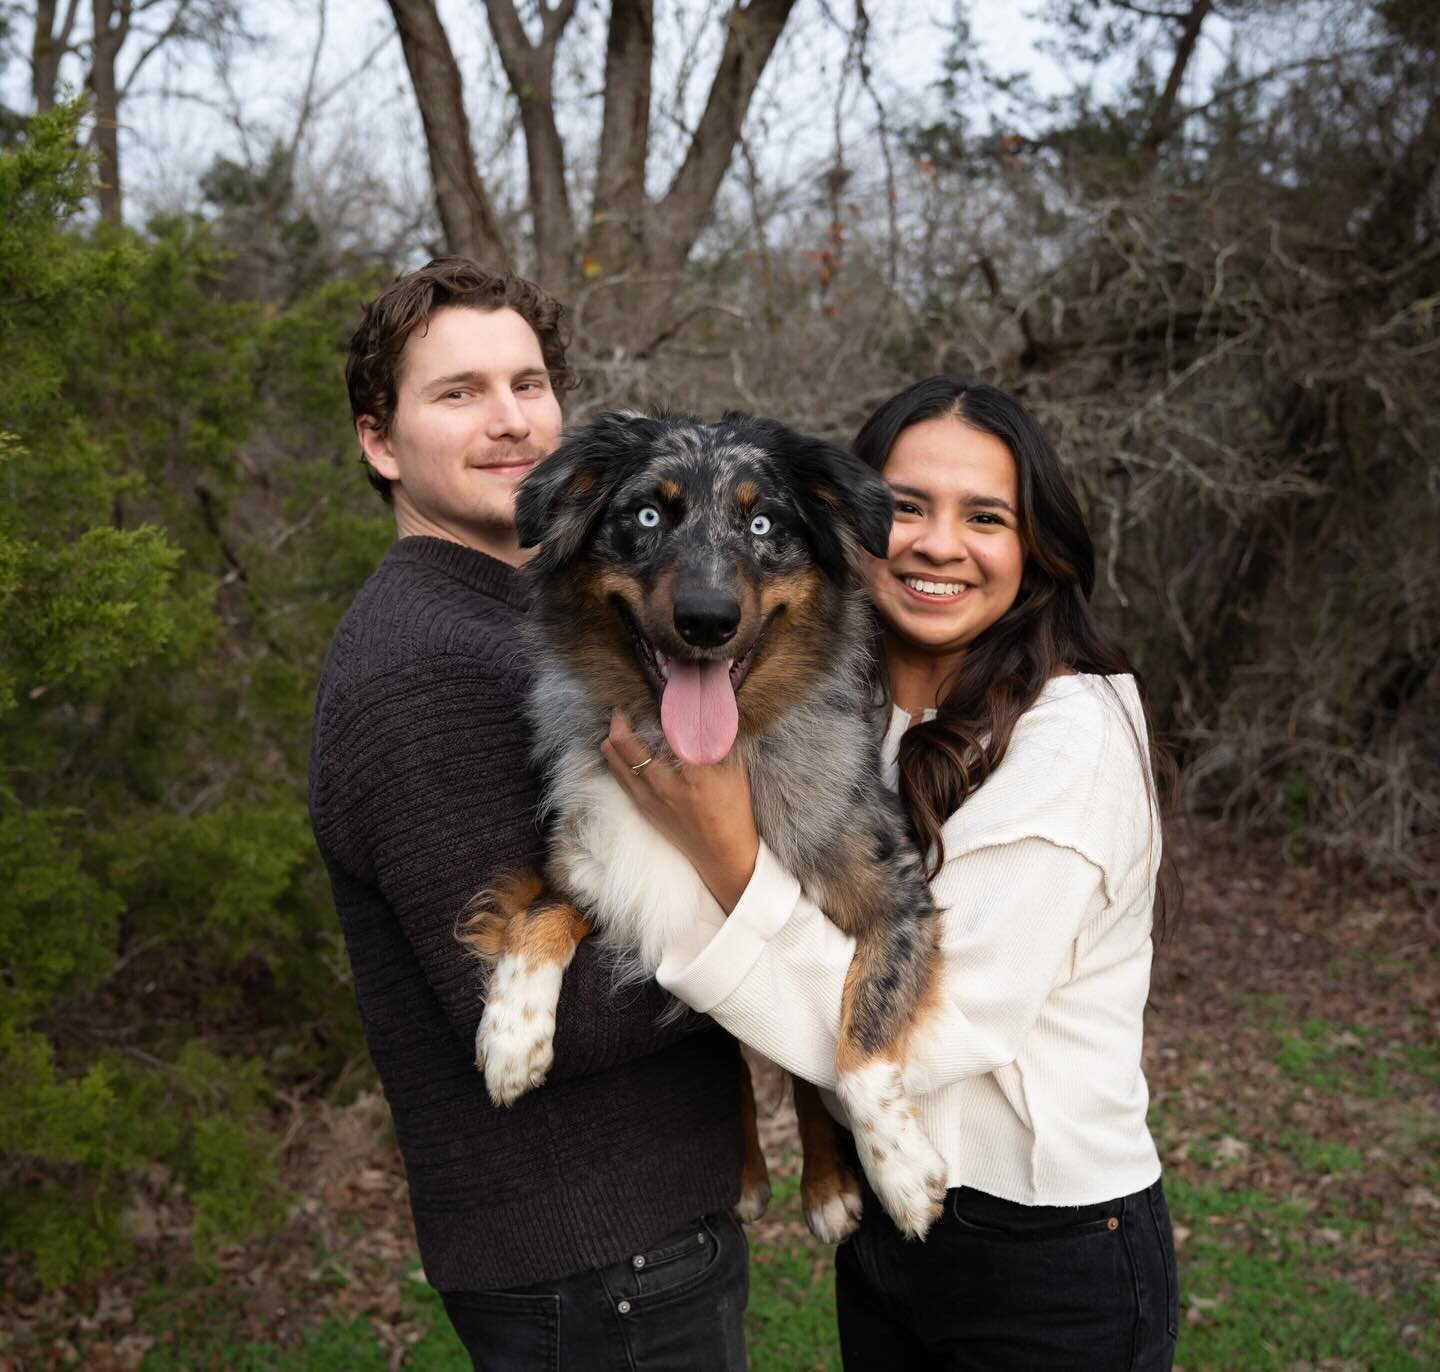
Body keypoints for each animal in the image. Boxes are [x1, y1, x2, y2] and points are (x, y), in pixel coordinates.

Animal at [460, 408, 950, 1243]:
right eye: (647, 517)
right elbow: (538, 914)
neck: (696, 756)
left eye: (762, 524)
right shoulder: (595, 869)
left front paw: (901, 1173)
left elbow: (858, 1040)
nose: (707, 621)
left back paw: (827, 1188)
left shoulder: (900, 899)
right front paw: (512, 1034)